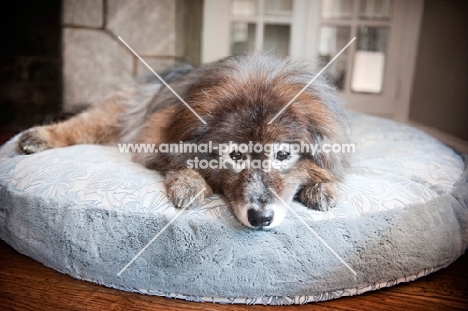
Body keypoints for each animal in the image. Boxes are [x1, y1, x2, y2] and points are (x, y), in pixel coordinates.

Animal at [16, 54, 350, 229]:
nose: (260, 218)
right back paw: (36, 137)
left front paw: (322, 187)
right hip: (119, 114)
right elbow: (177, 162)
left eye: (282, 156)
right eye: (235, 156)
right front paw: (189, 183)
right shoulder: (155, 138)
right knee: (82, 125)